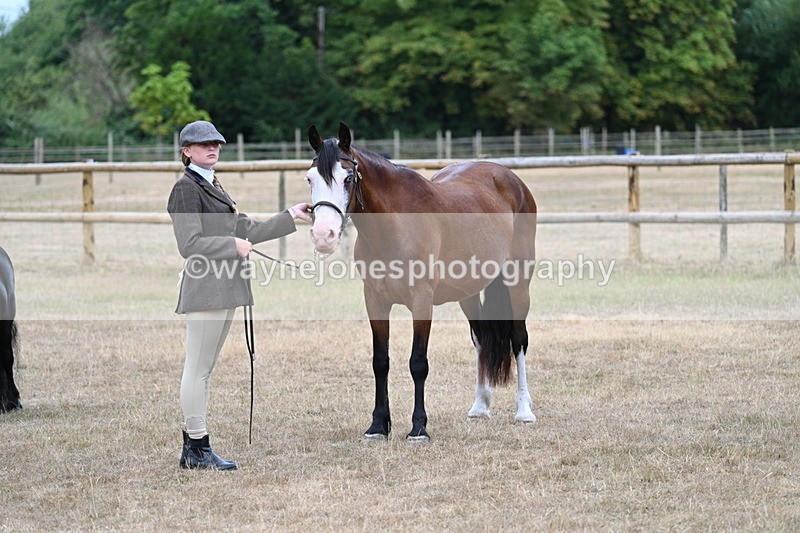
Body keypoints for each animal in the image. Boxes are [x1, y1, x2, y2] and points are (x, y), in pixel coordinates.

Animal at [305, 123, 537, 442]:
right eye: (310, 178)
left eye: (348, 178)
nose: (323, 235)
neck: (396, 224)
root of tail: (510, 179)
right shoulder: (375, 301)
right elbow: (381, 362)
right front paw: (378, 426)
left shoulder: (421, 302)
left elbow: (418, 363)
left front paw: (418, 428)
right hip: (468, 292)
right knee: (481, 339)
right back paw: (480, 405)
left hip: (518, 283)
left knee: (518, 340)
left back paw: (524, 411)